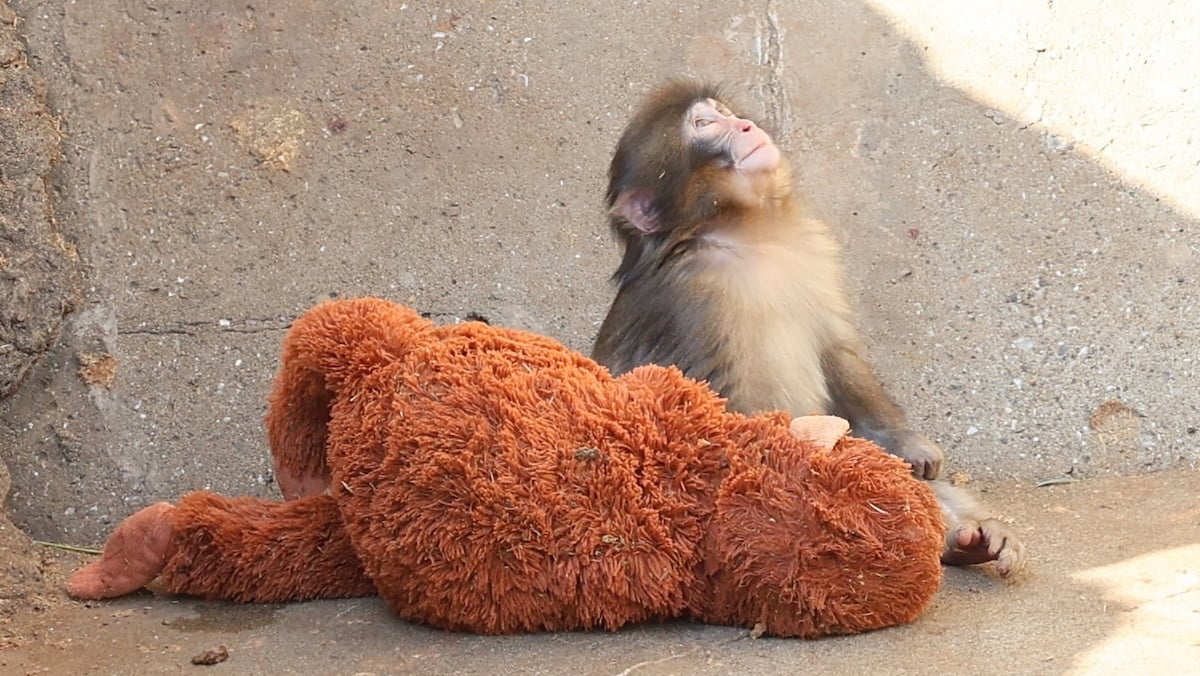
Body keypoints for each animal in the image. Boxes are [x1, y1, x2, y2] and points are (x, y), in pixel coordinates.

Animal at [591, 80, 1026, 577]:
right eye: (704, 125)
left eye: (723, 113)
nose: (747, 126)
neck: (747, 235)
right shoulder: (692, 301)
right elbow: (719, 415)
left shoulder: (811, 248)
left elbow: (837, 353)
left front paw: (905, 444)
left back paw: (965, 539)